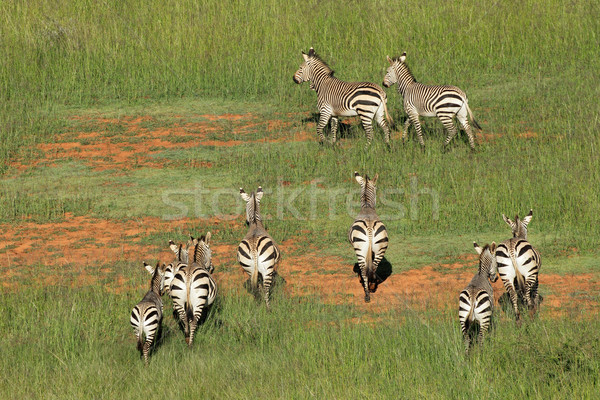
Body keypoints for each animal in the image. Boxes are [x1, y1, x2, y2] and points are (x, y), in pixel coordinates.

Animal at [346, 170, 390, 302]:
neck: (367, 206)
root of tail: (370, 228)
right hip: (381, 247)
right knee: (374, 268)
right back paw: (372, 286)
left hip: (360, 248)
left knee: (365, 270)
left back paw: (367, 294)